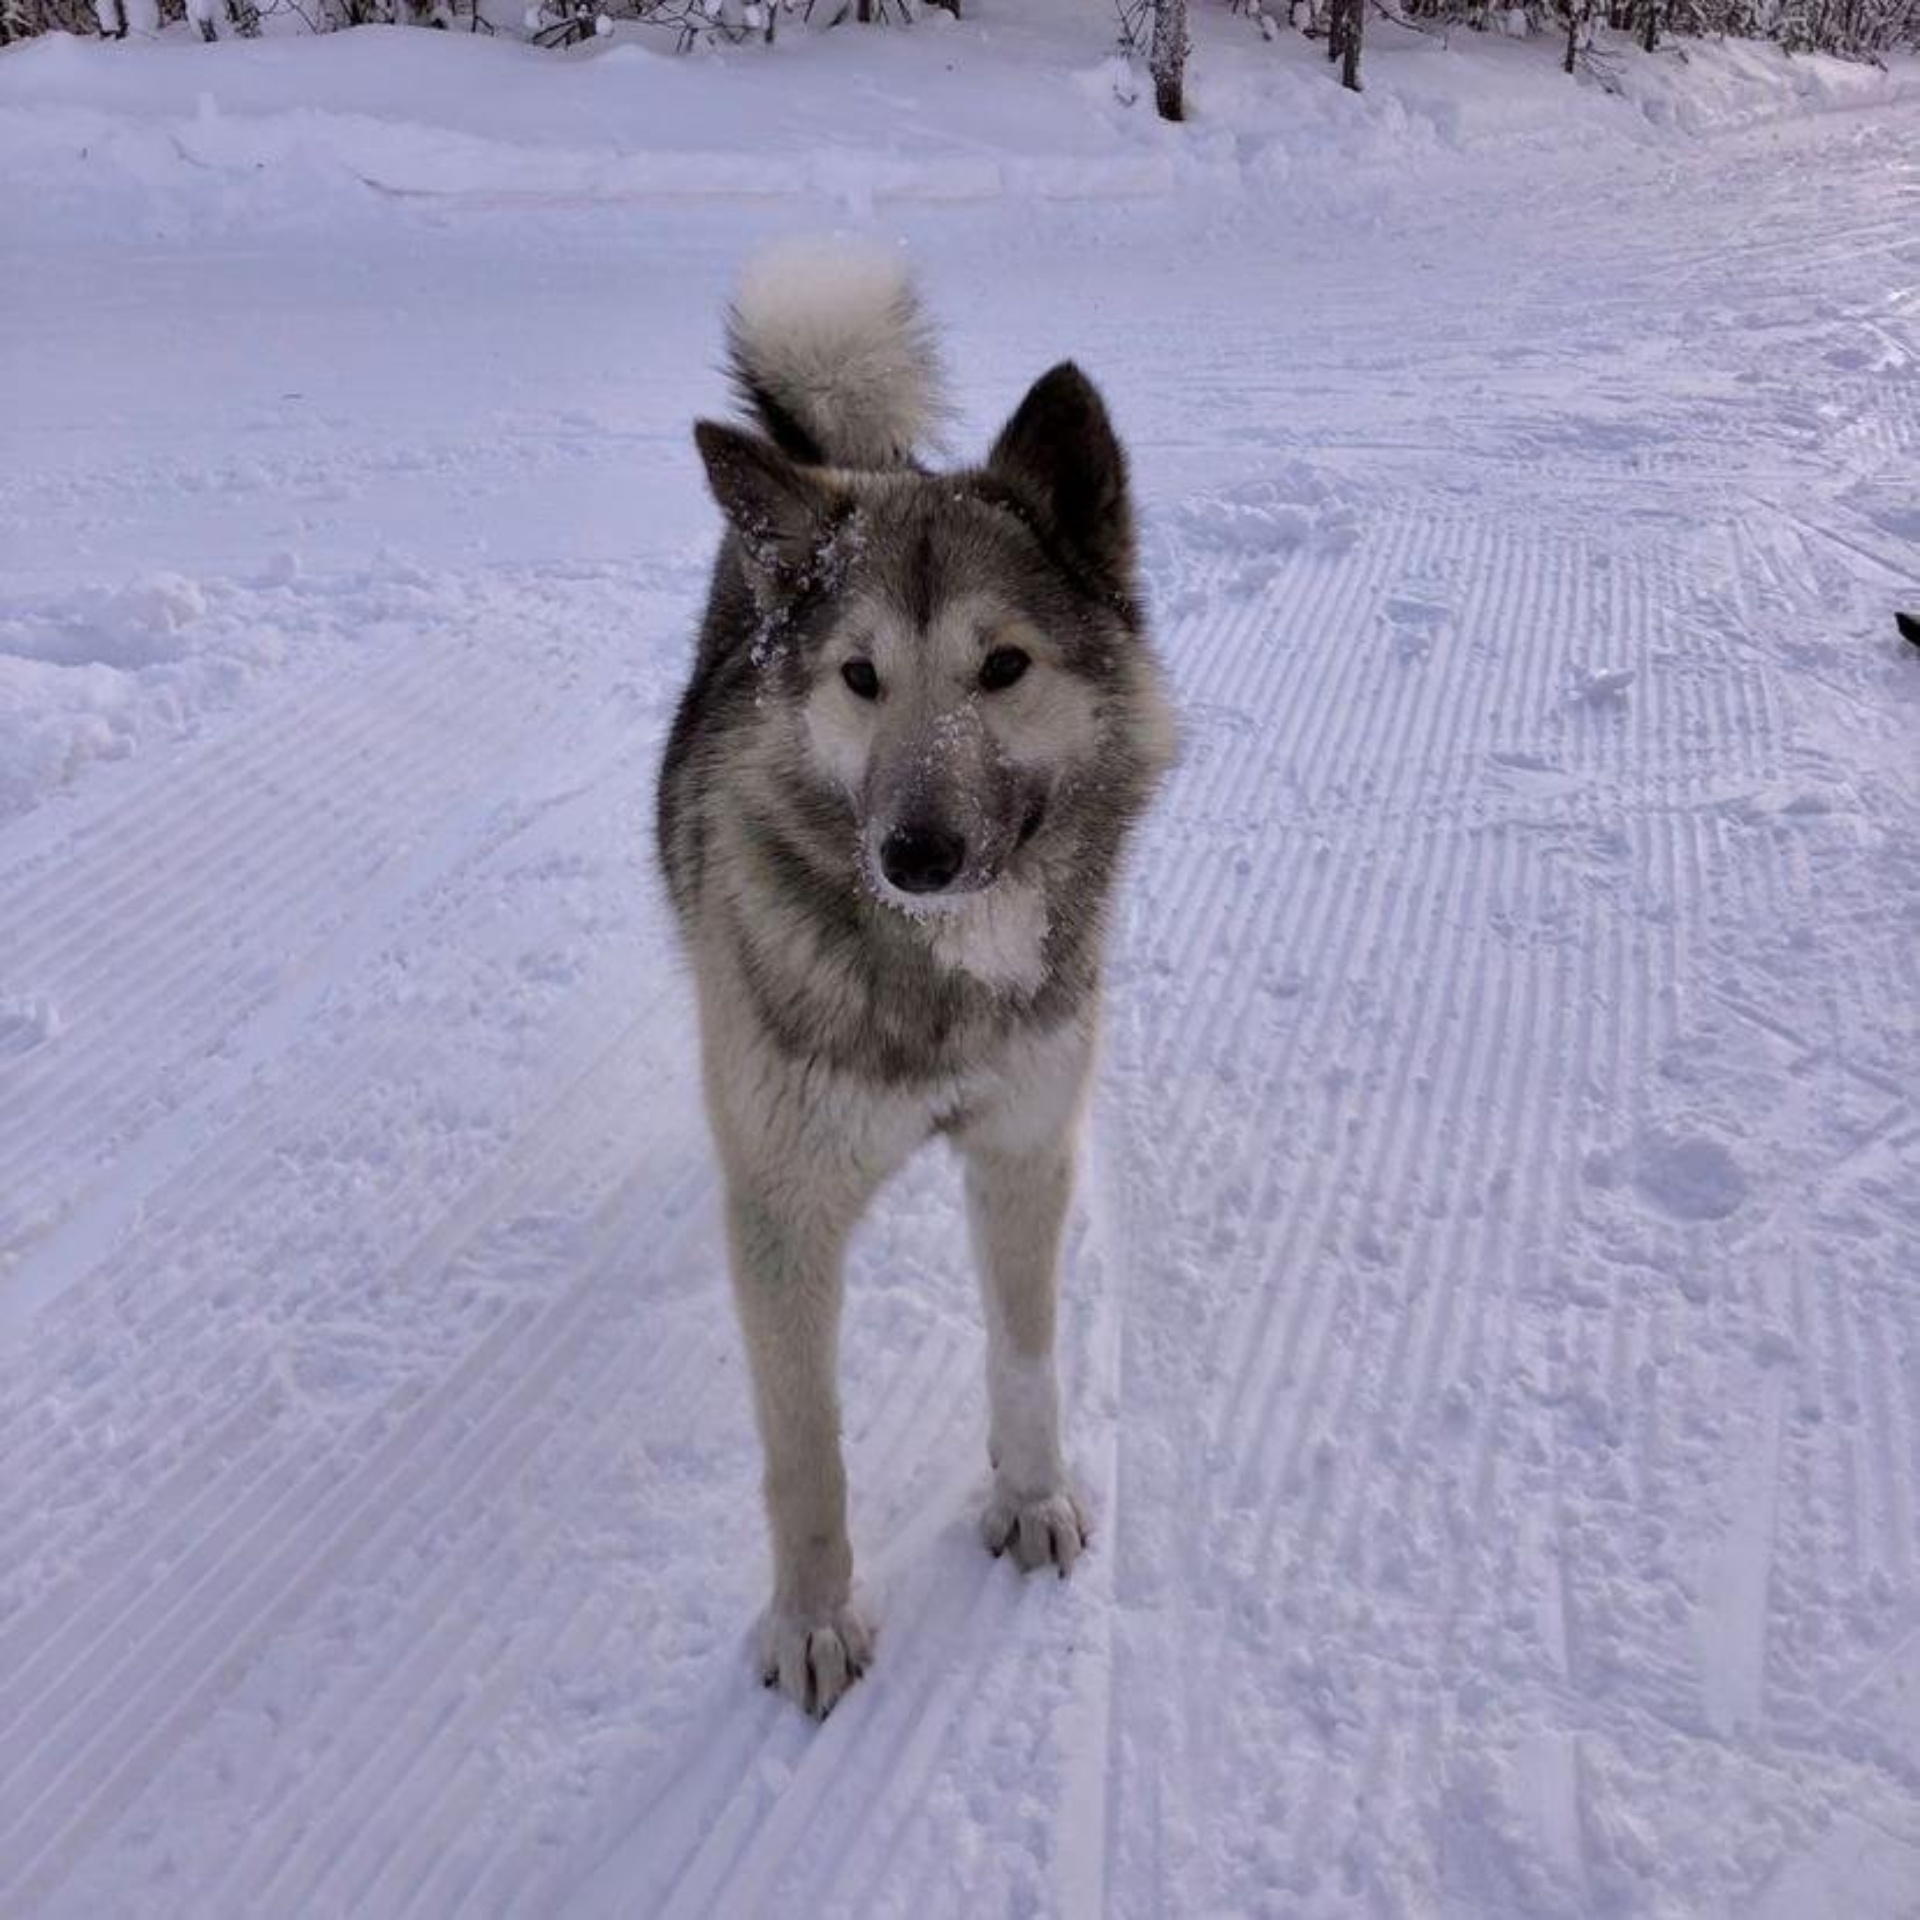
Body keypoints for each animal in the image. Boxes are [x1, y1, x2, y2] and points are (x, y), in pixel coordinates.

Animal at [656, 232, 1167, 1720]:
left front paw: (1032, 1498)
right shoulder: (785, 1212)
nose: (917, 854)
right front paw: (815, 1622)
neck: (936, 980)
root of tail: (853, 455)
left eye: (1003, 666)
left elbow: (1027, 1355)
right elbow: (805, 1448)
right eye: (858, 677)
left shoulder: (1024, 1145)